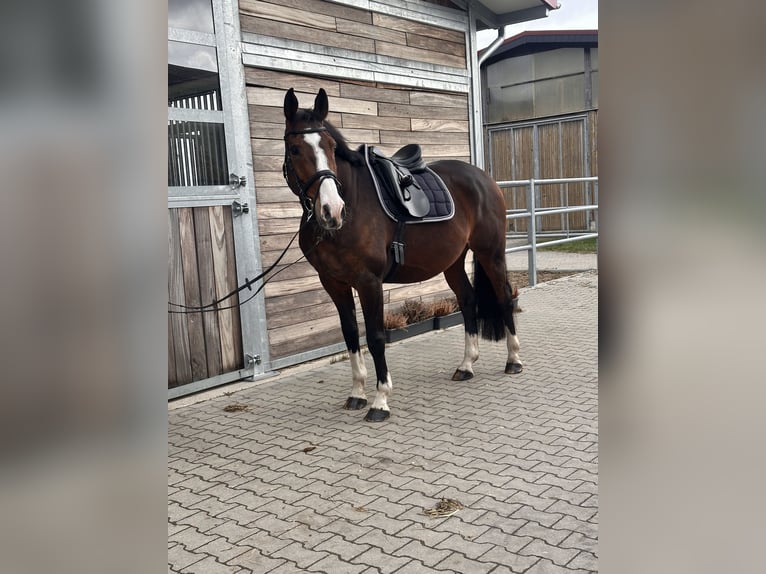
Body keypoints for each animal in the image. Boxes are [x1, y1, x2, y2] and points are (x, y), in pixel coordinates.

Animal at [282, 87, 522, 422]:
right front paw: (357, 394)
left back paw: (513, 360)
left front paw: (380, 401)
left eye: (330, 146)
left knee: (503, 296)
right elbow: (350, 334)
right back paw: (466, 365)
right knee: (468, 300)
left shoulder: (369, 282)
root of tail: (482, 177)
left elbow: (375, 337)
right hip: (453, 262)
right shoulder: (333, 283)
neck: (353, 204)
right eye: (294, 149)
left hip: (491, 253)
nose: (332, 210)